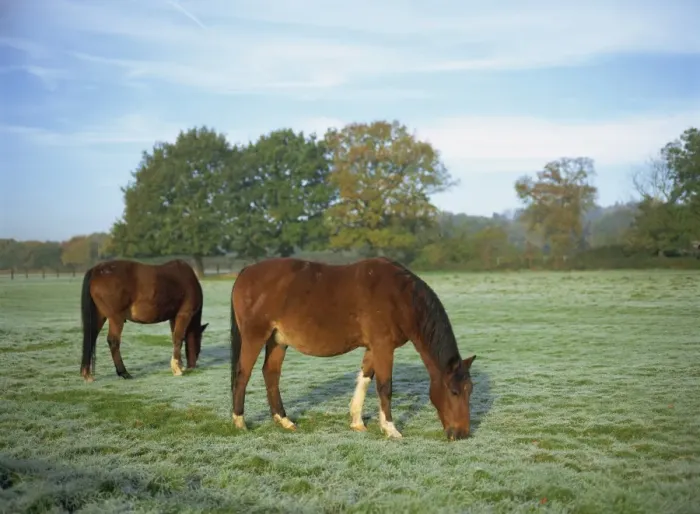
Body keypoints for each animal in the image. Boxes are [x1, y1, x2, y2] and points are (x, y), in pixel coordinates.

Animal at [80, 259, 208, 382]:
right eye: (199, 340)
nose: (193, 365)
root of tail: (96, 270)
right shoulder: (184, 314)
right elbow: (178, 338)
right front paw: (177, 369)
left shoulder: (173, 317)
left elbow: (175, 338)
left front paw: (179, 365)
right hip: (116, 318)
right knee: (113, 341)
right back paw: (124, 373)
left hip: (100, 316)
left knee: (91, 338)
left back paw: (87, 374)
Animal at [229, 256, 477, 441]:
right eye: (454, 392)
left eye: (470, 390)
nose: (462, 433)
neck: (400, 297)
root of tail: (246, 271)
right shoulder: (383, 347)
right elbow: (385, 386)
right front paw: (390, 429)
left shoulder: (373, 348)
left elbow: (365, 379)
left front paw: (357, 421)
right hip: (254, 336)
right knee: (243, 374)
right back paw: (240, 422)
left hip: (278, 340)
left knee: (270, 374)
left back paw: (284, 420)